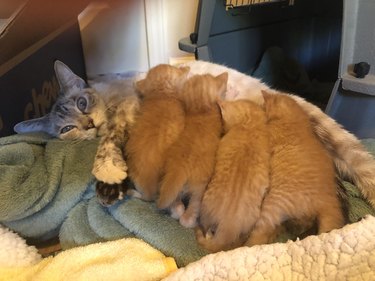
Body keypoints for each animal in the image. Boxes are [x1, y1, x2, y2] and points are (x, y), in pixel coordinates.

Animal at [156, 72, 228, 228]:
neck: (201, 110)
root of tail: (180, 167)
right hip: (199, 188)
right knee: (193, 206)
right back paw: (188, 220)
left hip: (170, 184)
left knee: (175, 203)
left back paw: (176, 210)